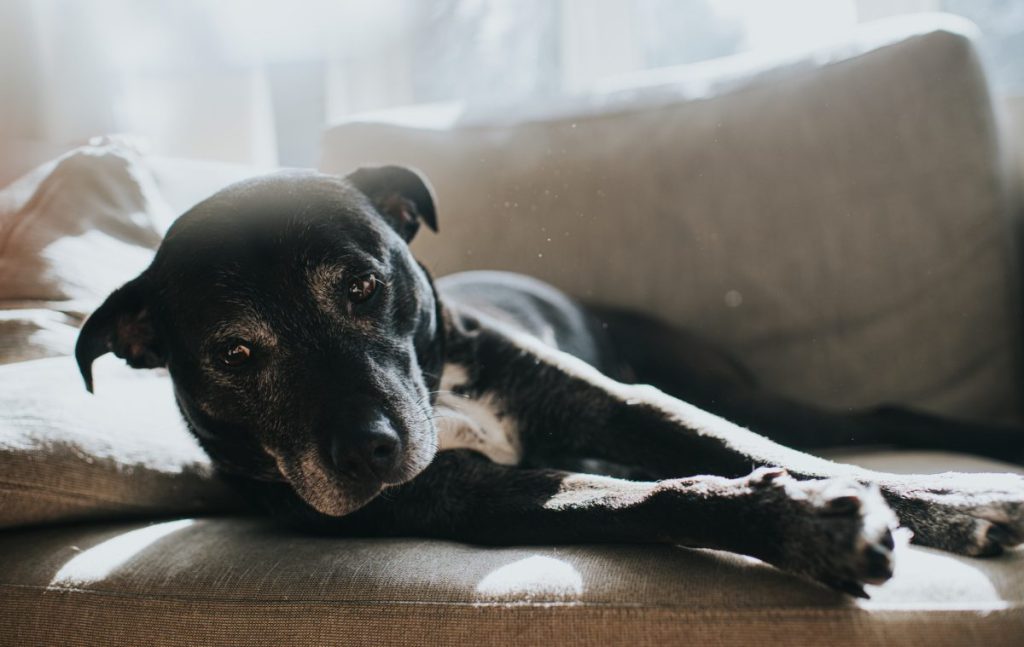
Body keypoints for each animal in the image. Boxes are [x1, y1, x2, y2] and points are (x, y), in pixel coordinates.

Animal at [74, 166, 1024, 597]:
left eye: (363, 286)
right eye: (235, 354)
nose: (368, 453)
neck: (445, 392)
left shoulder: (627, 406)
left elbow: (764, 452)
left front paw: (955, 499)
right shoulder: (479, 498)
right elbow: (663, 496)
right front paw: (799, 521)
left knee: (864, 415)